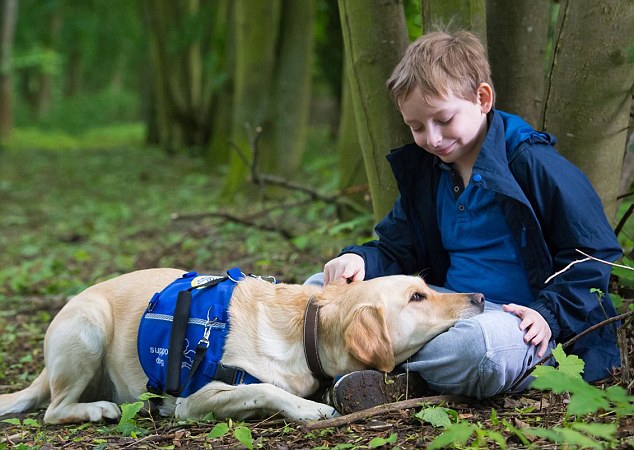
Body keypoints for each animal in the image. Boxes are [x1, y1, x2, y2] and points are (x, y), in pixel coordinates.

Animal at [0, 268, 482, 424]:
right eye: (416, 297)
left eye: (426, 288)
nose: (479, 297)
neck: (305, 331)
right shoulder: (196, 399)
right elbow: (264, 388)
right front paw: (308, 408)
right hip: (88, 328)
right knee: (52, 411)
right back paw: (97, 409)